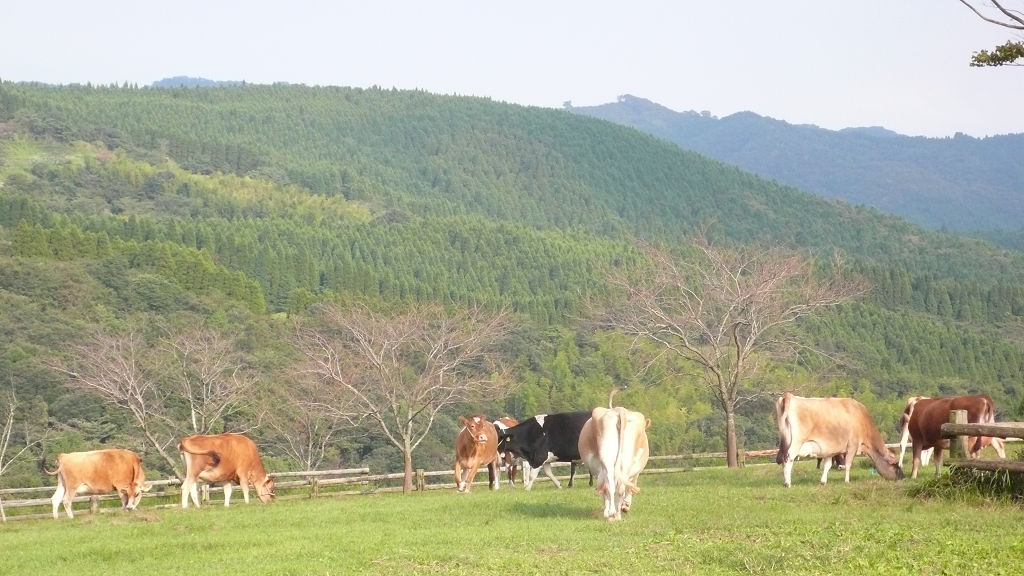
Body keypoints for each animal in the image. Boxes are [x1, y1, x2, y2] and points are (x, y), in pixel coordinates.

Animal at [774, 389, 905, 483]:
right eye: (895, 465)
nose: (903, 477)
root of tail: (790, 396)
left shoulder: (829, 449)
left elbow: (827, 465)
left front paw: (823, 481)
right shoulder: (852, 445)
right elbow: (848, 464)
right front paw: (847, 481)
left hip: (785, 439)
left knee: (783, 458)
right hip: (796, 442)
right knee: (789, 458)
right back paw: (787, 483)